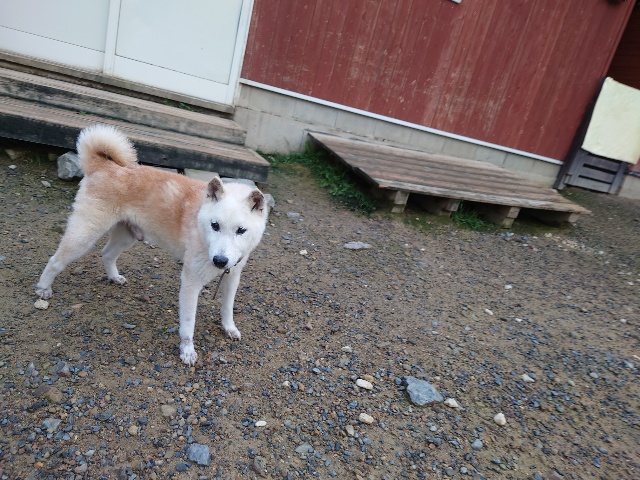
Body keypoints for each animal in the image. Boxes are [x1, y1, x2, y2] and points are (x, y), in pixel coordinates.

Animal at [36, 124, 268, 365]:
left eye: (241, 230)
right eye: (215, 225)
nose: (220, 261)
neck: (200, 224)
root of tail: (104, 166)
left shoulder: (233, 276)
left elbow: (227, 308)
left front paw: (229, 328)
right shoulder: (191, 281)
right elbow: (188, 324)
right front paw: (187, 350)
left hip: (126, 236)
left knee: (107, 254)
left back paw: (114, 277)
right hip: (85, 235)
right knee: (55, 260)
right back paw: (43, 288)